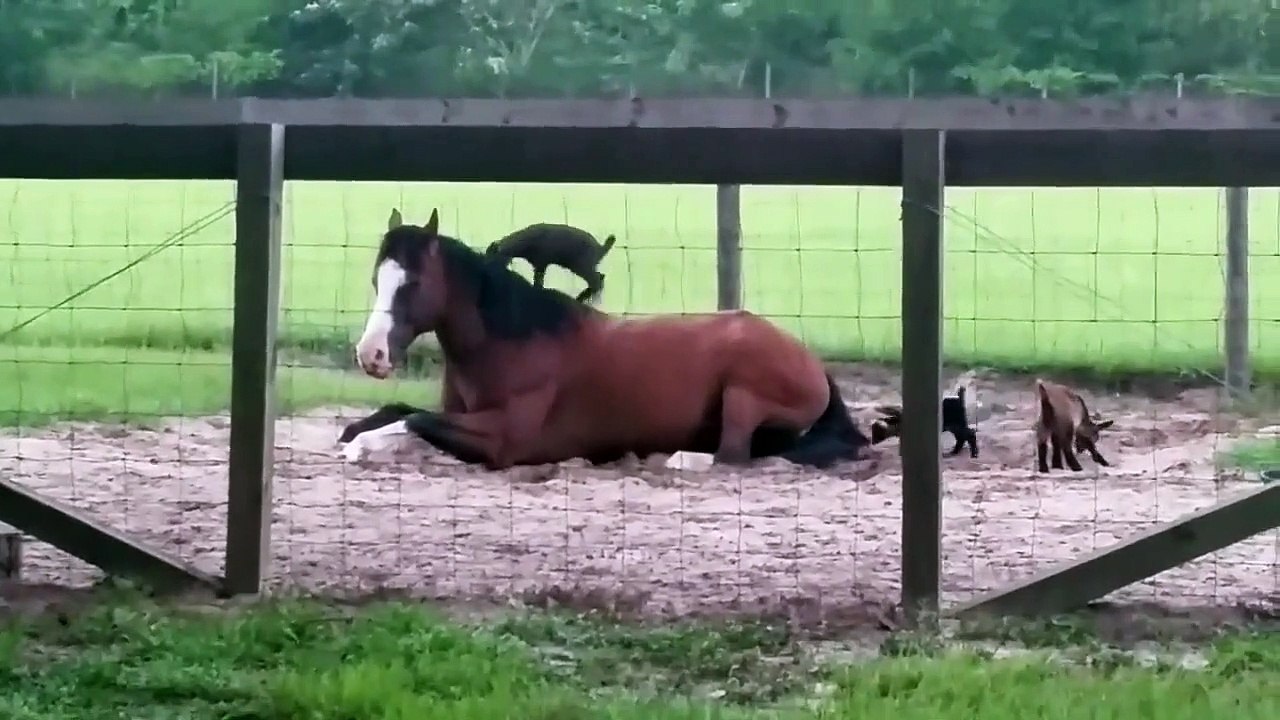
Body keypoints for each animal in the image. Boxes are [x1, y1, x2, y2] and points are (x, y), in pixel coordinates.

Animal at [338, 207, 871, 471]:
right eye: (376, 279)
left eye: (412, 283)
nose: (372, 355)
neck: (514, 340)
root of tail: (810, 361)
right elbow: (398, 412)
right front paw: (356, 435)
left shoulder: (504, 439)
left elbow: (413, 421)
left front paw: (361, 446)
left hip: (743, 393)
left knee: (734, 456)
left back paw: (673, 458)